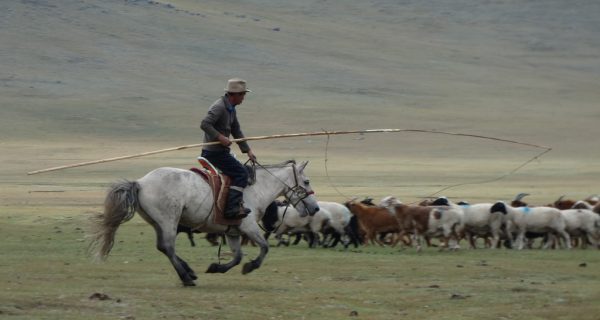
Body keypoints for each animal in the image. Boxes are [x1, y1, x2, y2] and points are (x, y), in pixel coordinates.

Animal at [88, 160, 318, 288]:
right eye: (306, 181)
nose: (315, 209)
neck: (257, 188)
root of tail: (141, 182)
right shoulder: (249, 227)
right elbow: (264, 248)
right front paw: (250, 267)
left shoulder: (233, 232)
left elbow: (236, 256)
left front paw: (216, 267)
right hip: (169, 220)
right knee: (167, 247)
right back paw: (187, 277)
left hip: (158, 222)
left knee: (163, 247)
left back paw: (189, 272)